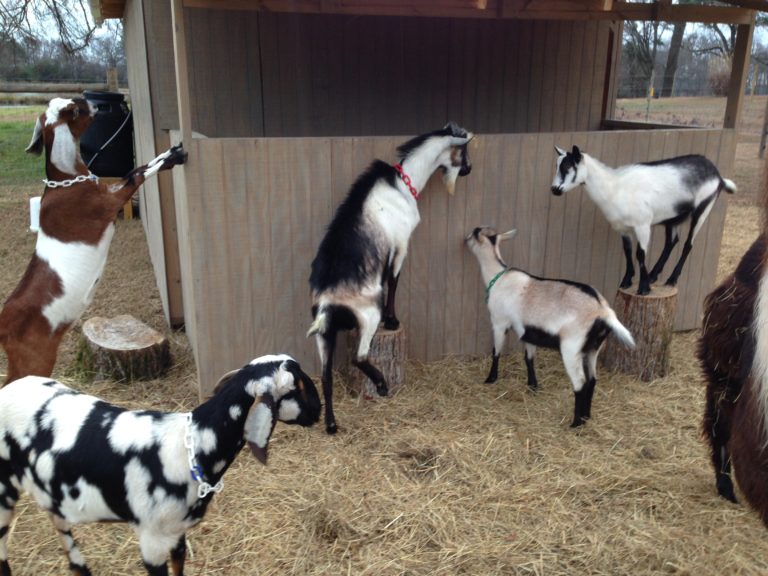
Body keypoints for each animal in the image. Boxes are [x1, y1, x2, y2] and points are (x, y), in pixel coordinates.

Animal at [0, 97, 186, 385]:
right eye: (79, 107)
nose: (97, 105)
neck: (67, 180)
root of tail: (3, 323)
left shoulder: (110, 191)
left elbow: (135, 169)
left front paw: (170, 151)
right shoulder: (108, 204)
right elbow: (137, 176)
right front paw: (174, 157)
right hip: (34, 358)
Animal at [0, 354, 321, 575]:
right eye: (297, 386)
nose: (319, 412)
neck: (191, 444)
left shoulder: (177, 534)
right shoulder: (151, 540)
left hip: (50, 492)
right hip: (4, 492)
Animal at [308, 123, 474, 434]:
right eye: (464, 151)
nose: (469, 169)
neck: (405, 182)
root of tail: (327, 300)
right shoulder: (400, 244)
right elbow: (393, 280)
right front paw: (393, 320)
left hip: (324, 333)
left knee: (326, 377)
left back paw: (332, 425)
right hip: (367, 313)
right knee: (359, 356)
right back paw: (382, 385)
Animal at [464, 226, 635, 427]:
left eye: (476, 233)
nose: (465, 239)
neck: (499, 277)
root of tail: (603, 310)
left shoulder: (499, 322)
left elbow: (496, 352)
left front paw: (490, 379)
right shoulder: (527, 332)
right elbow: (529, 358)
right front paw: (533, 386)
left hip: (571, 347)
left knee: (580, 382)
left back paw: (575, 423)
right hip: (593, 349)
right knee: (592, 380)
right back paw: (586, 417)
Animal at [551, 146, 736, 295]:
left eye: (568, 167)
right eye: (557, 166)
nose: (554, 189)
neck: (615, 187)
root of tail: (719, 176)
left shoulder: (643, 225)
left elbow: (640, 253)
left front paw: (643, 288)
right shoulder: (623, 228)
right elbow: (627, 250)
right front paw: (627, 281)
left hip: (704, 207)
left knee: (688, 244)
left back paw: (671, 279)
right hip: (673, 218)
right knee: (671, 242)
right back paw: (654, 275)